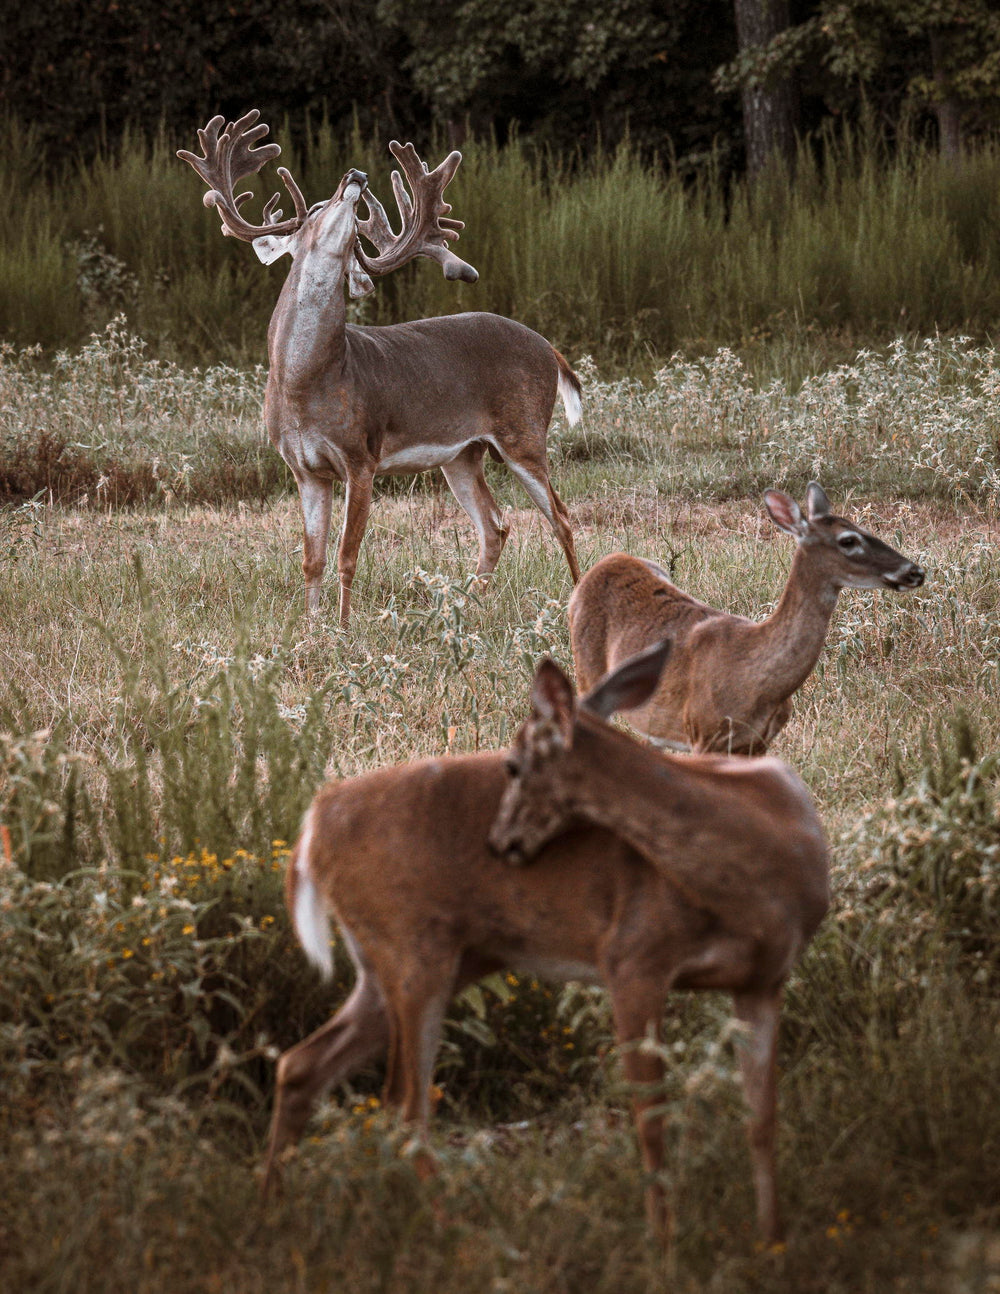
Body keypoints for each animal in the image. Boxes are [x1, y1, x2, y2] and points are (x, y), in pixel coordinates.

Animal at [178, 108, 582, 623]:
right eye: (315, 208)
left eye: (353, 225)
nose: (355, 176)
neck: (304, 381)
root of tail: (549, 348)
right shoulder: (303, 468)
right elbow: (312, 558)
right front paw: (310, 625)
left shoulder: (361, 456)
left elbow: (348, 555)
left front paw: (343, 627)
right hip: (462, 454)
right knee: (495, 524)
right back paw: (465, 607)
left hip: (524, 432)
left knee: (562, 518)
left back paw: (576, 602)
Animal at [260, 641, 827, 1247]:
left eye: (512, 765)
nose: (499, 841)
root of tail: (315, 827)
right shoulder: (631, 958)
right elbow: (650, 1115)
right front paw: (663, 1244)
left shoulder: (764, 979)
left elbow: (762, 1116)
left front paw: (772, 1240)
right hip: (411, 950)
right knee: (406, 1105)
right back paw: (457, 1231)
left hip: (412, 963)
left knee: (304, 1066)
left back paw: (274, 1210)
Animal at [566, 481, 926, 755]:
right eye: (848, 540)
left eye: (863, 526)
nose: (914, 571)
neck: (754, 678)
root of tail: (604, 564)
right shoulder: (704, 732)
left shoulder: (758, 743)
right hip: (587, 673)